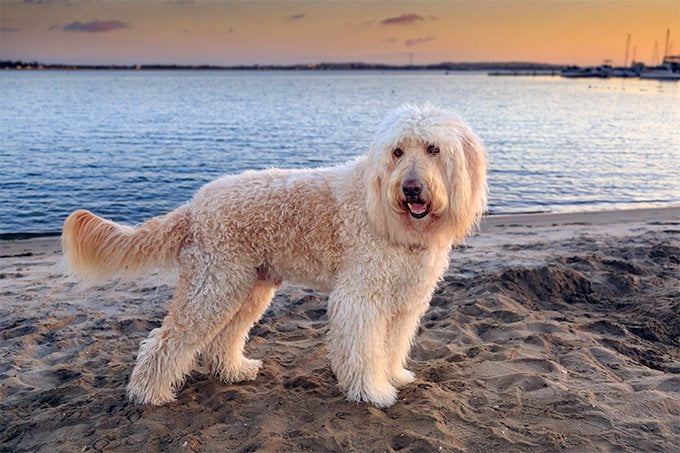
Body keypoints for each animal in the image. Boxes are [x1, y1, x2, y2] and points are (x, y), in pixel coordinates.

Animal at [61, 104, 486, 408]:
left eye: (433, 149)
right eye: (397, 151)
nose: (411, 189)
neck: (382, 206)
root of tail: (194, 206)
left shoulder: (405, 300)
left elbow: (393, 344)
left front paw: (394, 376)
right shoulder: (361, 299)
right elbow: (365, 349)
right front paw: (373, 392)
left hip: (247, 288)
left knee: (223, 339)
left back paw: (233, 371)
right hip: (213, 288)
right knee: (164, 341)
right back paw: (149, 395)